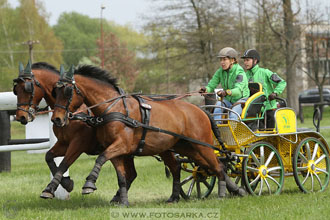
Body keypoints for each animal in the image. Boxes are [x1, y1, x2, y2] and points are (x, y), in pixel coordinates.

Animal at [12, 61, 148, 202]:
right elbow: (49, 156)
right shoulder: (63, 143)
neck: (74, 114)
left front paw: (52, 188)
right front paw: (66, 183)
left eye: (28, 88)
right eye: (16, 90)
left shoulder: (78, 143)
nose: (21, 117)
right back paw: (117, 197)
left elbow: (64, 163)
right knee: (131, 174)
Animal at [51, 65, 244, 205]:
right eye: (55, 92)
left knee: (219, 166)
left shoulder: (120, 145)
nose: (57, 119)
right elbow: (121, 176)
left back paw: (223, 193)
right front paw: (123, 201)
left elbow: (100, 158)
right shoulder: (116, 150)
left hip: (201, 146)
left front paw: (89, 184)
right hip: (185, 148)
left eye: (67, 92)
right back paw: (177, 197)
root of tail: (200, 110)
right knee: (183, 168)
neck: (114, 109)